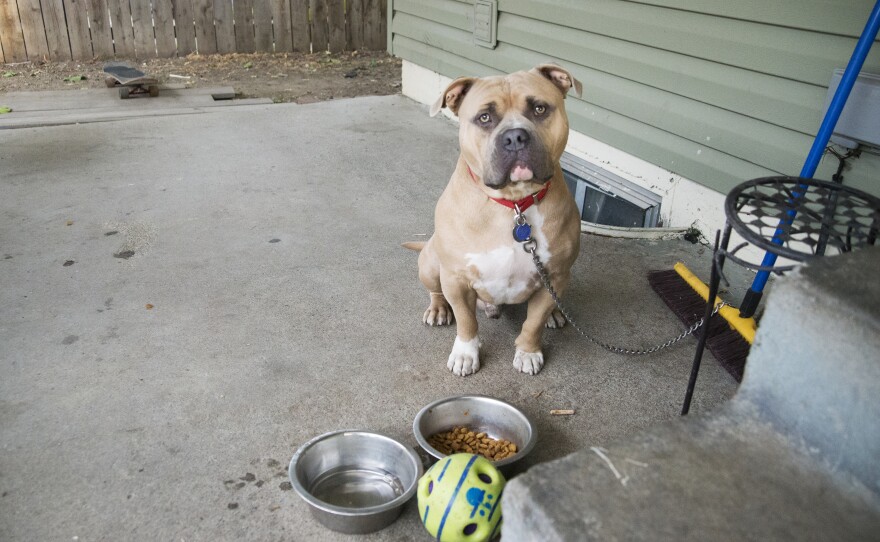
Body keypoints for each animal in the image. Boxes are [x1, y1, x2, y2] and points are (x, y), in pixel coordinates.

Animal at [406, 65, 584, 378]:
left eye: (539, 108)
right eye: (485, 118)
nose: (515, 137)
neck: (514, 205)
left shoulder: (555, 274)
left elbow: (533, 322)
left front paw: (528, 351)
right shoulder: (456, 279)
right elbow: (467, 321)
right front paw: (466, 353)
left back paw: (556, 313)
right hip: (430, 263)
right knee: (435, 290)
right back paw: (439, 309)